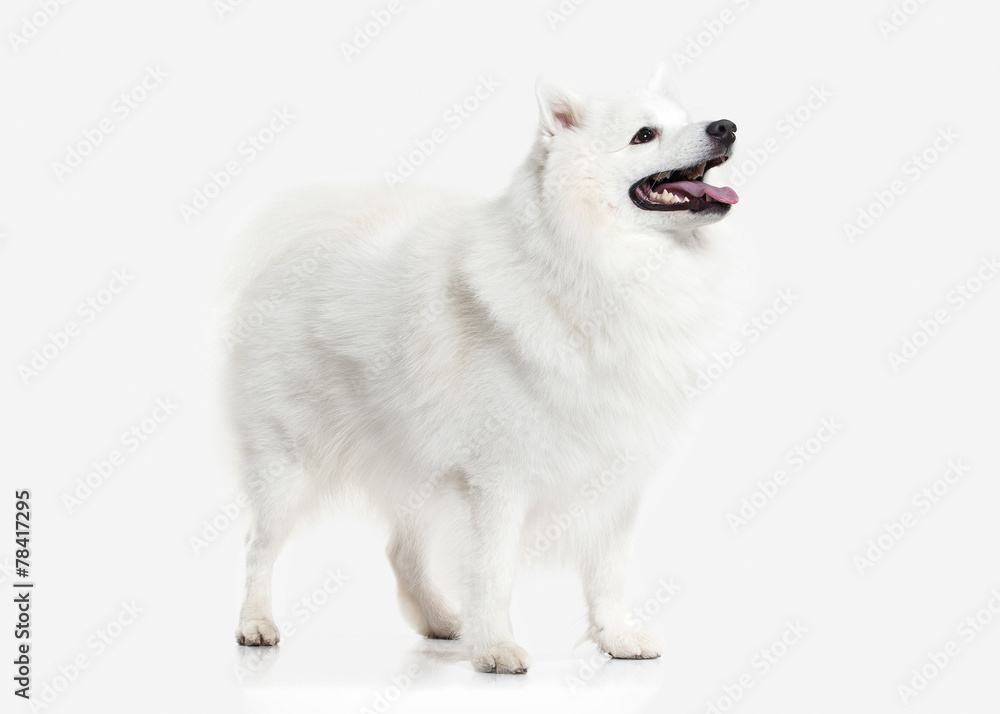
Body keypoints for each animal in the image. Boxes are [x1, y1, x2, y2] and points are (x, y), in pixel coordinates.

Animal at [229, 64, 744, 672]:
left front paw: (616, 637)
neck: (598, 264)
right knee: (259, 547)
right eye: (644, 135)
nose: (726, 126)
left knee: (400, 550)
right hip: (289, 463)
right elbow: (493, 570)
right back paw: (255, 624)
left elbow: (608, 572)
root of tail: (301, 247)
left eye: (686, 120)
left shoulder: (614, 470)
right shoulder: (497, 477)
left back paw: (440, 620)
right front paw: (496, 647)